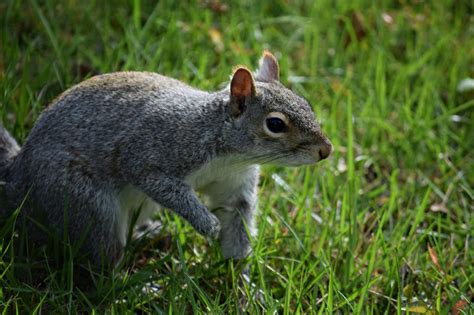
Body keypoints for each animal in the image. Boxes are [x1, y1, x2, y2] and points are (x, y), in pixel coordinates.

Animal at [0, 51, 334, 270]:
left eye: (305, 103)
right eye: (275, 124)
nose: (326, 150)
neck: (231, 155)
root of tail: (19, 177)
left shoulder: (235, 185)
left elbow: (237, 221)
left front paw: (241, 281)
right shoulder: (154, 150)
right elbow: (162, 184)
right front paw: (208, 224)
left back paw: (147, 233)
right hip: (83, 203)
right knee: (103, 257)